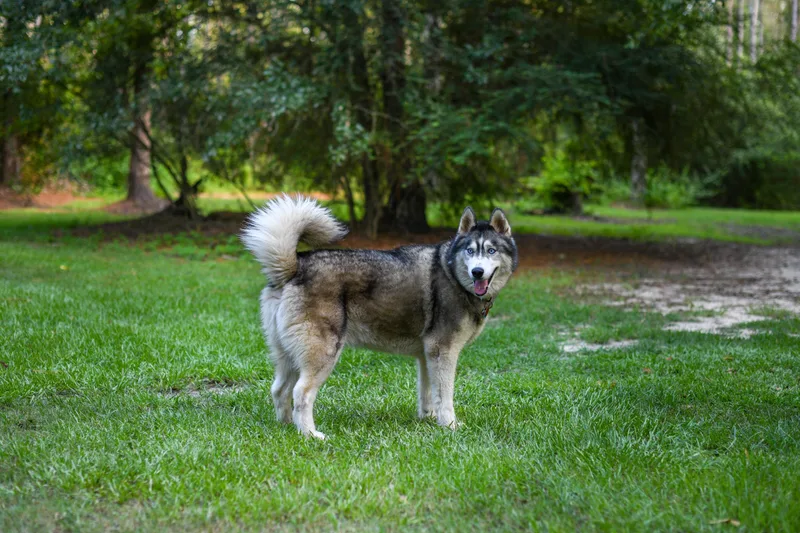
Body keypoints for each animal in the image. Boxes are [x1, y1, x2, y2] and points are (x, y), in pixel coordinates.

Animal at [241, 195, 518, 439]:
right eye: (470, 251)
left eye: (491, 250)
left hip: (288, 356)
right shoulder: (444, 351)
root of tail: (295, 266)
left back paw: (289, 427)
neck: (453, 276)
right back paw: (310, 434)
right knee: (301, 393)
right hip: (322, 353)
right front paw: (449, 425)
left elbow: (428, 393)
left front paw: (429, 419)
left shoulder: (427, 355)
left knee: (279, 389)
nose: (477, 272)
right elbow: (445, 396)